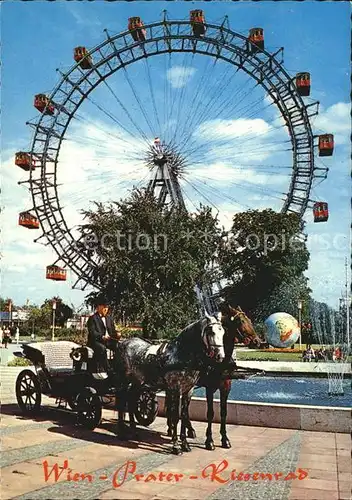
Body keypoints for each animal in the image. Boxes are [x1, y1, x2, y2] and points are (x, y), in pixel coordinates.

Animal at [166, 302, 262, 452]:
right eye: (240, 321)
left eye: (250, 320)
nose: (257, 341)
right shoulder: (210, 388)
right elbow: (210, 413)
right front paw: (209, 440)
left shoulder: (226, 387)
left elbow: (223, 412)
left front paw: (224, 438)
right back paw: (172, 429)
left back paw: (188, 430)